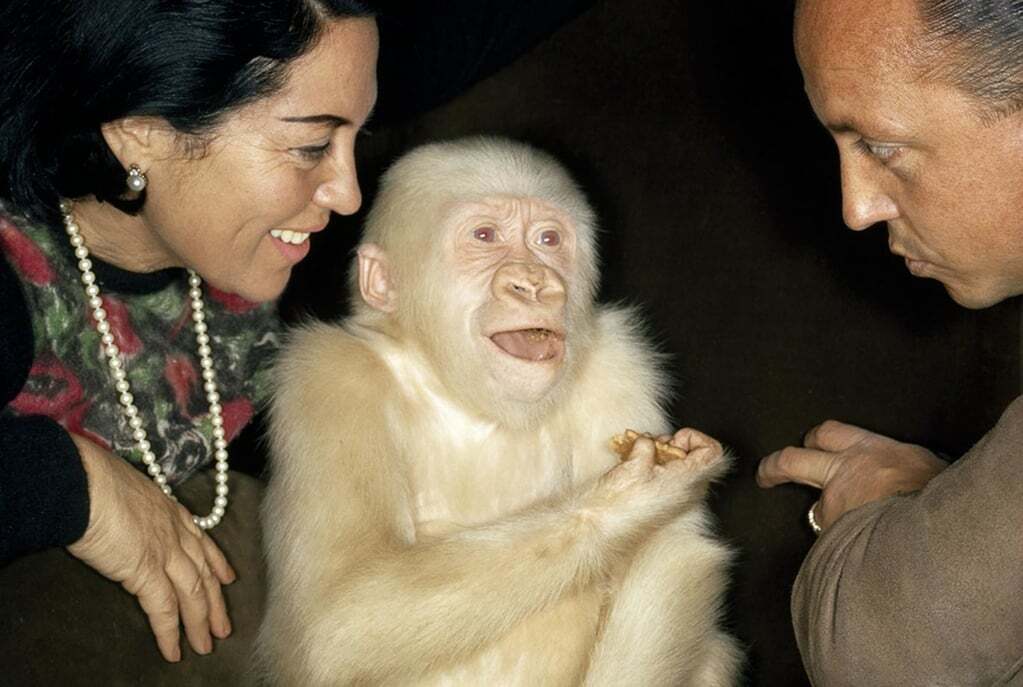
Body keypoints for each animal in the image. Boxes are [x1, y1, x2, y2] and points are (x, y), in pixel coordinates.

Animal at [253, 136, 736, 682]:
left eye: (548, 239)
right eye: (484, 235)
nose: (533, 283)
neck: (467, 396)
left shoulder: (621, 360)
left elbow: (673, 557)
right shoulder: (329, 377)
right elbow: (334, 614)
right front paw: (629, 499)